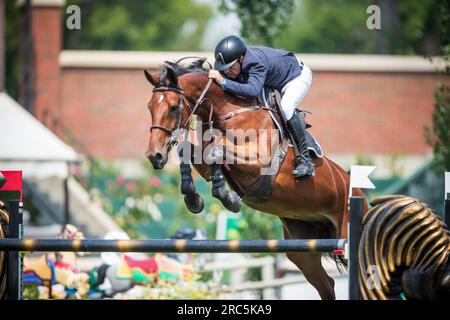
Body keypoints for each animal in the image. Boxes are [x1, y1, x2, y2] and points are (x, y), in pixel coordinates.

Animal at [142, 58, 368, 300]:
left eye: (173, 107)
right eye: (150, 107)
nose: (154, 156)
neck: (227, 111)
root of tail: (358, 192)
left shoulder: (259, 161)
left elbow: (216, 149)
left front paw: (226, 197)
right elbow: (191, 150)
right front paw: (194, 198)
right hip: (302, 251)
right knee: (327, 285)